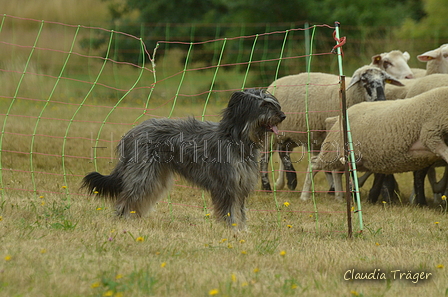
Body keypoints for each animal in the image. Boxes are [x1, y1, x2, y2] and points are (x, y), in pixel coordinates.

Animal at [82, 89, 286, 230]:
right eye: (263, 105)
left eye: (274, 104)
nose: (283, 116)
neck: (236, 139)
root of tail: (131, 132)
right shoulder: (226, 185)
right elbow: (229, 210)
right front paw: (231, 229)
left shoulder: (240, 185)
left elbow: (240, 211)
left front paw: (242, 229)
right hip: (144, 175)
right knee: (128, 197)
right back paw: (123, 219)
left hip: (156, 177)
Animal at [260, 65, 402, 191]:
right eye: (364, 80)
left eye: (384, 81)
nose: (381, 99)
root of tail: (275, 83)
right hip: (274, 133)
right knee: (267, 156)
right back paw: (271, 186)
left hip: (294, 134)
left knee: (283, 150)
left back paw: (287, 181)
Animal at [300, 85, 448, 204]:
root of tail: (339, 117)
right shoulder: (431, 135)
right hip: (333, 149)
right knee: (314, 164)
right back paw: (305, 196)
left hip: (348, 156)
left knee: (336, 170)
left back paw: (339, 198)